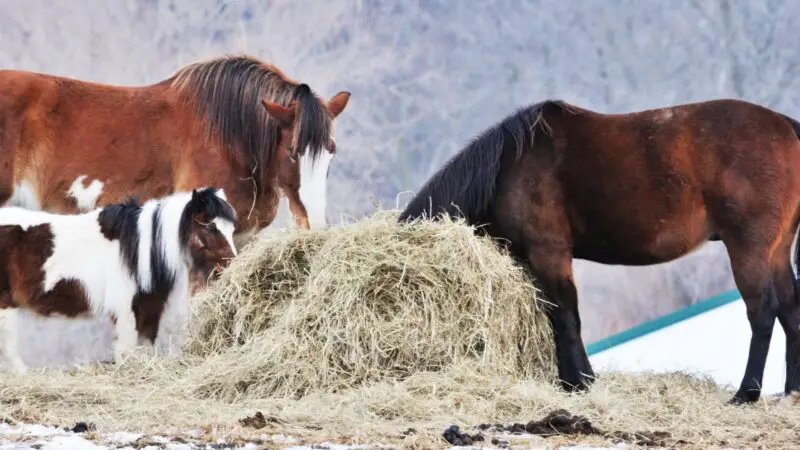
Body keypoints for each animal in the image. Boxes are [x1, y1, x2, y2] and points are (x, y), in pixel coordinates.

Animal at [0, 186, 238, 372]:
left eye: (231, 228)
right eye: (210, 227)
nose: (230, 266)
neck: (140, 249)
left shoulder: (151, 309)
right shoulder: (126, 311)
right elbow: (126, 350)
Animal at [400, 97, 800, 404]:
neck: (510, 169)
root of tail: (785, 126)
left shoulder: (549, 254)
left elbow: (565, 317)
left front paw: (579, 383)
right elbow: (558, 317)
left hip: (748, 249)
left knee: (762, 313)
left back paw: (746, 394)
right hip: (777, 252)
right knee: (790, 310)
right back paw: (790, 391)